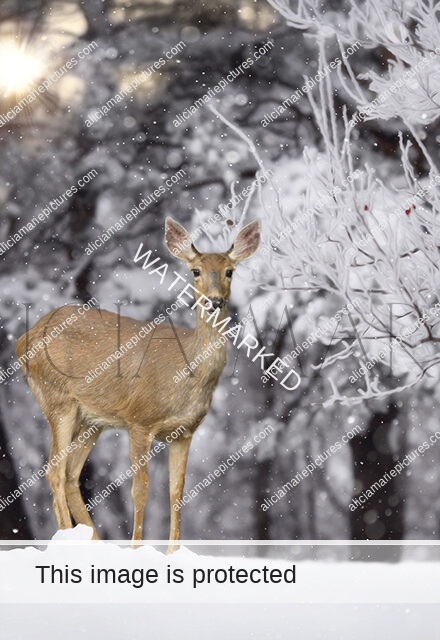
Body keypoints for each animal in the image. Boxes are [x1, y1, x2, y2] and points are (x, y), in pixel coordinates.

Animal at [15, 215, 260, 552]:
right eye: (195, 271)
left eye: (230, 271)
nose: (215, 301)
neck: (185, 376)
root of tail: (22, 340)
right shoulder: (139, 419)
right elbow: (140, 490)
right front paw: (137, 550)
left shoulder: (185, 431)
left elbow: (177, 492)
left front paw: (173, 553)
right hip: (57, 399)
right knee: (53, 469)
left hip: (92, 420)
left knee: (71, 474)